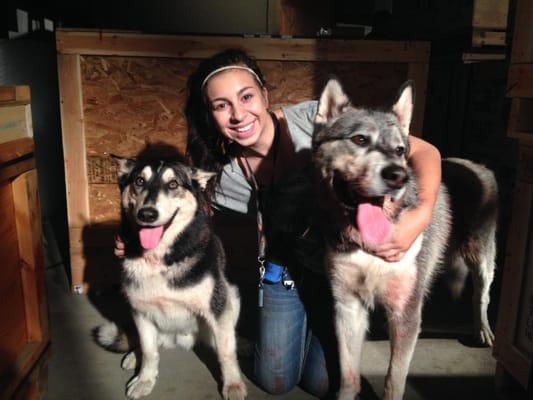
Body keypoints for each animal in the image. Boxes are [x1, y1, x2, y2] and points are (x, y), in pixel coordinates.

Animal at [310, 79, 496, 400]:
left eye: (399, 150)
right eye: (359, 139)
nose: (398, 175)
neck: (367, 249)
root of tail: (474, 163)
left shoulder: (407, 312)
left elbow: (393, 380)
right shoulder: (347, 306)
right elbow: (348, 377)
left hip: (482, 256)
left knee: (480, 295)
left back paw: (482, 328)